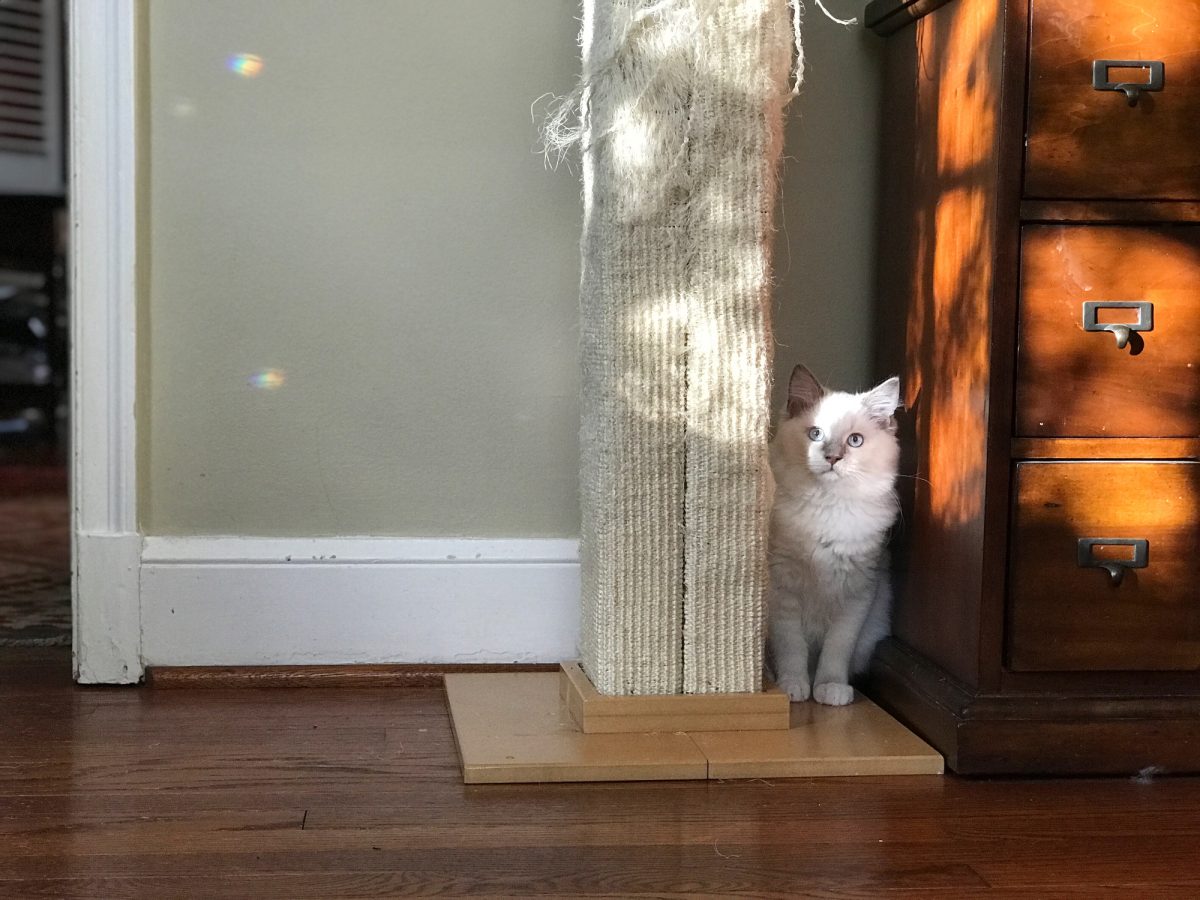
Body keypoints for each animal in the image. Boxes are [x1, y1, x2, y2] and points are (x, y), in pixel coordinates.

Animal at [768, 362, 902, 710]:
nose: (832, 458)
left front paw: (830, 690)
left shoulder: (858, 593)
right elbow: (792, 648)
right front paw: (792, 688)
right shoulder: (783, 590)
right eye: (815, 434)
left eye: (855, 441)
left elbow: (836, 651)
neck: (827, 510)